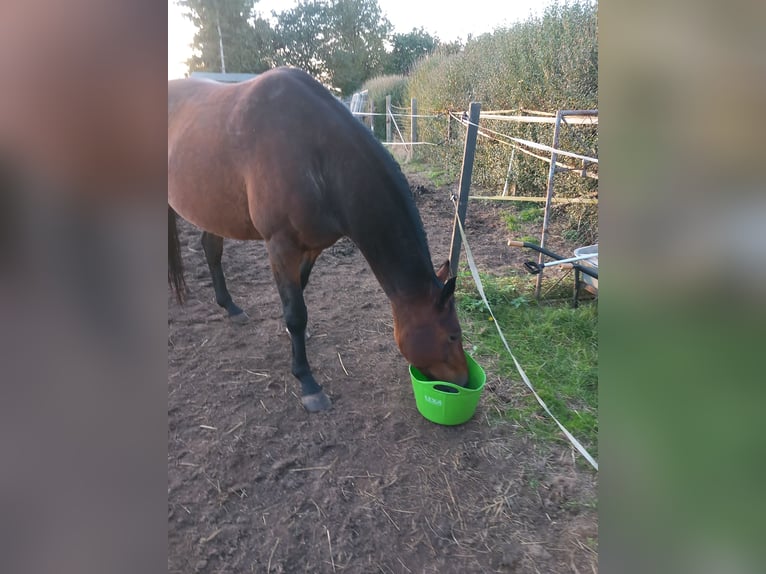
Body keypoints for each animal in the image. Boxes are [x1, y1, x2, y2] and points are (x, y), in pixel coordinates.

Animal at [168, 67, 468, 412]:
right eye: (453, 335)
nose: (464, 382)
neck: (317, 152)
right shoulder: (280, 245)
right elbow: (296, 312)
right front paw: (307, 382)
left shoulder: (312, 246)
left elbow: (299, 292)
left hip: (211, 209)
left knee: (211, 250)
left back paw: (230, 307)